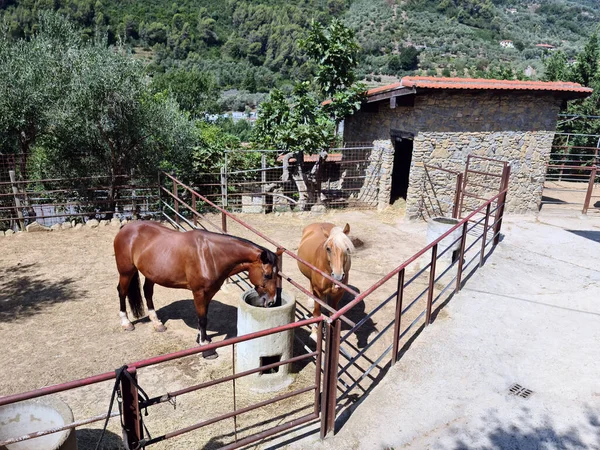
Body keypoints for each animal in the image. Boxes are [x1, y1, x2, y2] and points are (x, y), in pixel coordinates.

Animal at [113, 221, 280, 358]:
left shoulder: (209, 293)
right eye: (267, 275)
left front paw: (201, 338)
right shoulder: (199, 292)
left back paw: (157, 323)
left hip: (151, 274)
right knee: (122, 292)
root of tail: (126, 228)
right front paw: (205, 348)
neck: (210, 254)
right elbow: (202, 318)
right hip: (126, 272)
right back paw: (126, 323)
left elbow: (203, 317)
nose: (271, 302)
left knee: (148, 292)